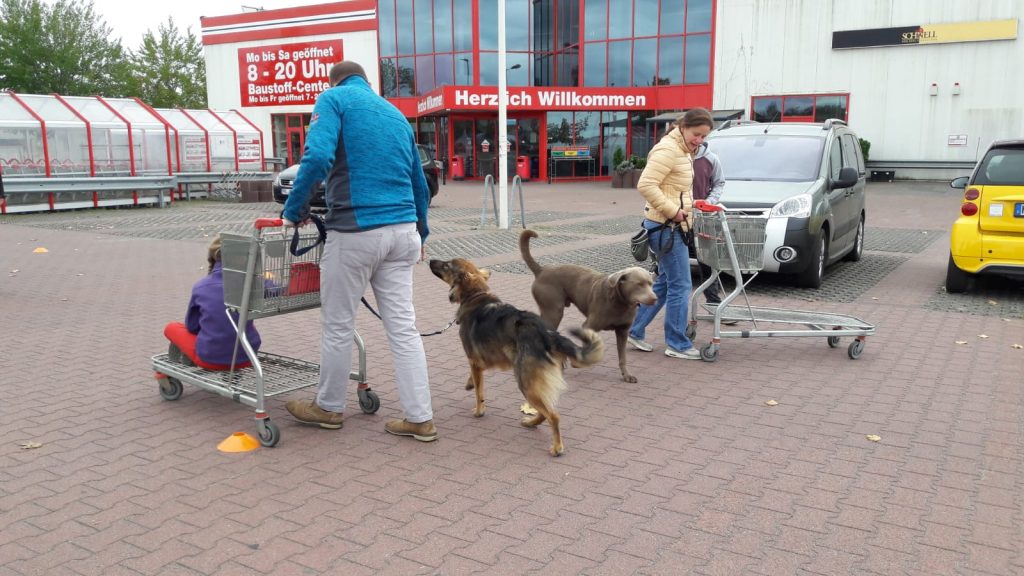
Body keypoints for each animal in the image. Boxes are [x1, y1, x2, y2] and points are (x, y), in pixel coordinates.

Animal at [429, 257, 604, 456]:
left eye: (446, 265)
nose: (430, 259)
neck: (476, 296)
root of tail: (548, 333)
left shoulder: (473, 359)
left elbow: (479, 392)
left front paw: (479, 410)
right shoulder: (479, 362)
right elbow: (475, 380)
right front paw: (469, 383)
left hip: (525, 381)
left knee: (553, 415)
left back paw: (557, 447)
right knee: (546, 411)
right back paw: (531, 422)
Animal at [519, 229, 657, 383]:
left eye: (651, 284)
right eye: (639, 284)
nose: (654, 298)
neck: (620, 302)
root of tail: (541, 270)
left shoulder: (623, 331)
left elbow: (622, 357)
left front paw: (627, 375)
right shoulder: (589, 325)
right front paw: (577, 361)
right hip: (554, 311)